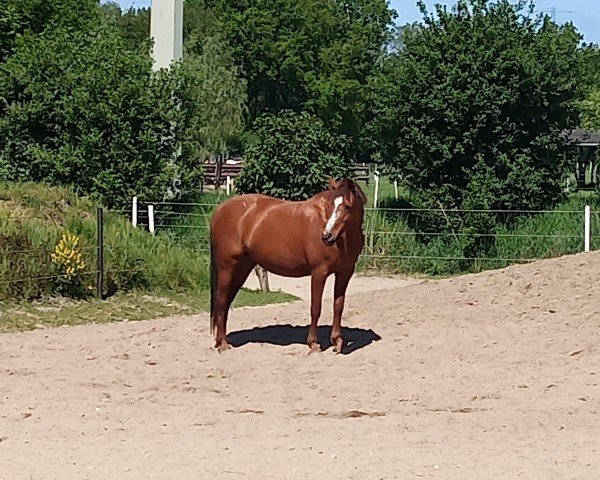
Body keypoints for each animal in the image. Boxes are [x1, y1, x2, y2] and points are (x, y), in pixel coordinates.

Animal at [209, 178, 368, 354]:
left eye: (348, 206)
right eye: (330, 205)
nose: (327, 236)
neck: (343, 239)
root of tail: (219, 210)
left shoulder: (345, 272)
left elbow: (338, 306)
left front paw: (337, 342)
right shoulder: (319, 272)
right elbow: (315, 308)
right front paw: (313, 344)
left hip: (242, 268)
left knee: (224, 303)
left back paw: (221, 341)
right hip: (227, 268)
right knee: (221, 301)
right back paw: (223, 344)